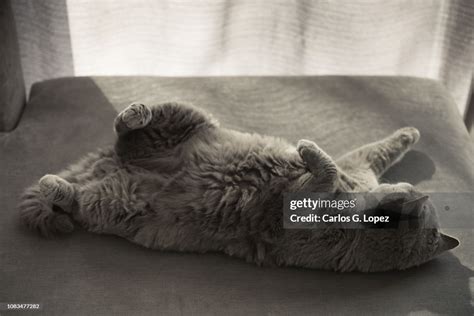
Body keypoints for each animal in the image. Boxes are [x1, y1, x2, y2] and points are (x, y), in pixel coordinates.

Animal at [19, 101, 460, 272]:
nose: (409, 188)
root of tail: (104, 164)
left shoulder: (298, 225)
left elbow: (327, 173)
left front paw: (310, 154)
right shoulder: (361, 166)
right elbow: (373, 152)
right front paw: (409, 132)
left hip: (112, 202)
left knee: (73, 199)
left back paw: (54, 184)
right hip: (188, 118)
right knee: (130, 126)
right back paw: (135, 111)